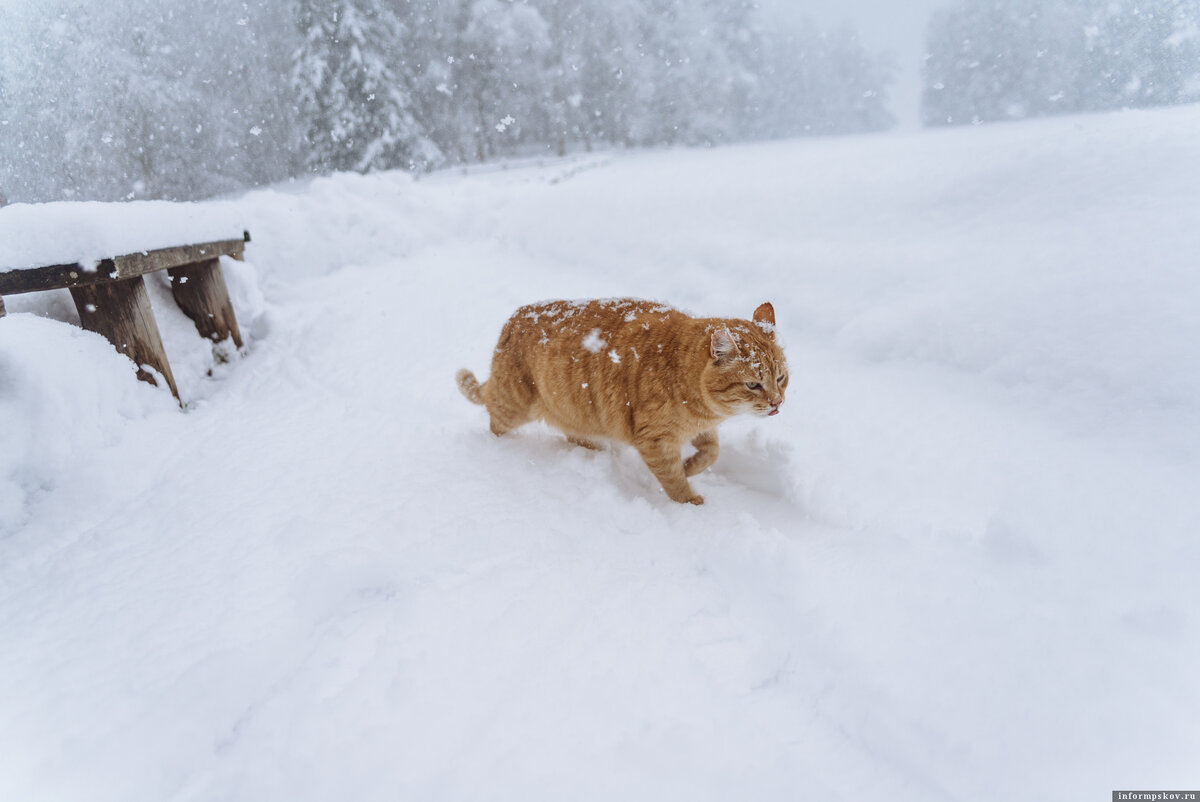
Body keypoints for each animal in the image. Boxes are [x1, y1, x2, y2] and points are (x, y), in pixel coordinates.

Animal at [456, 297, 787, 504]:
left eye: (781, 378)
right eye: (754, 384)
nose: (777, 403)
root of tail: (513, 320)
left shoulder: (701, 428)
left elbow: (711, 453)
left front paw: (690, 466)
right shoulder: (655, 439)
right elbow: (672, 479)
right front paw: (688, 498)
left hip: (577, 414)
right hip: (512, 405)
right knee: (494, 420)